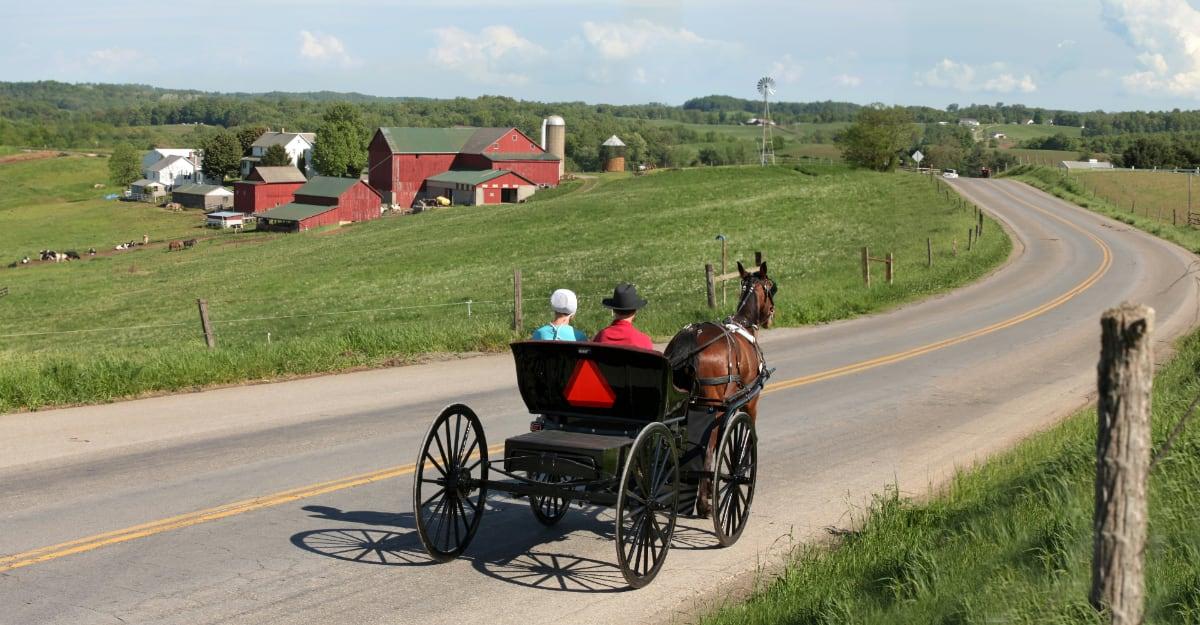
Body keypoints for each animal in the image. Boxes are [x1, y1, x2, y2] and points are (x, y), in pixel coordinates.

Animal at [667, 260, 777, 513]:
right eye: (771, 286)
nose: (771, 314)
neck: (743, 324)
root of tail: (690, 339)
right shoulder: (750, 402)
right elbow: (743, 440)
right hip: (711, 404)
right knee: (707, 448)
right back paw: (704, 504)